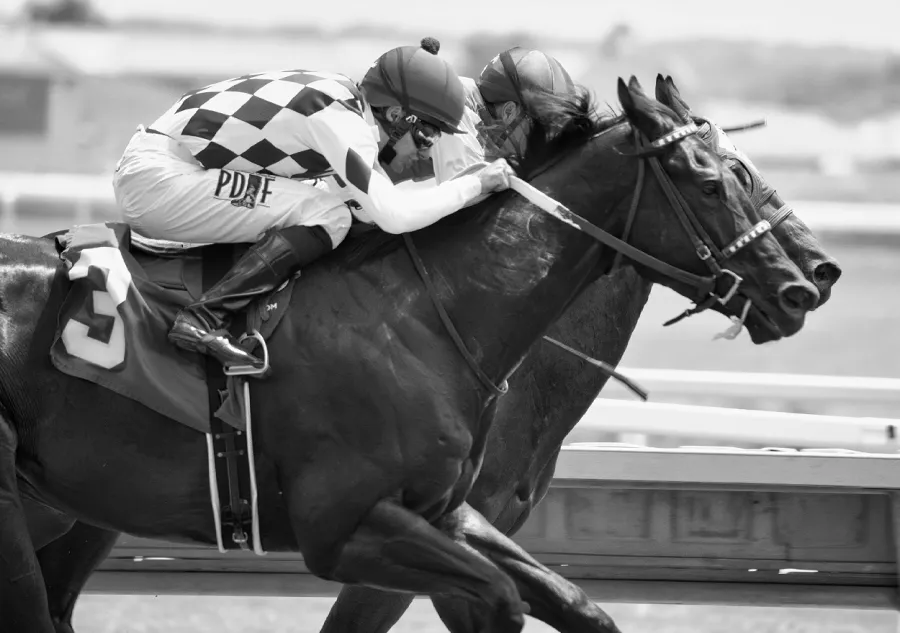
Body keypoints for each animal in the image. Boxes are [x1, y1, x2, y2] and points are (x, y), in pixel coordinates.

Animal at [0, 76, 824, 628]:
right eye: (716, 181)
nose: (804, 285)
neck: (427, 317)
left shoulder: (449, 513)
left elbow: (574, 603)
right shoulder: (348, 530)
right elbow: (495, 598)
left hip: (77, 507)